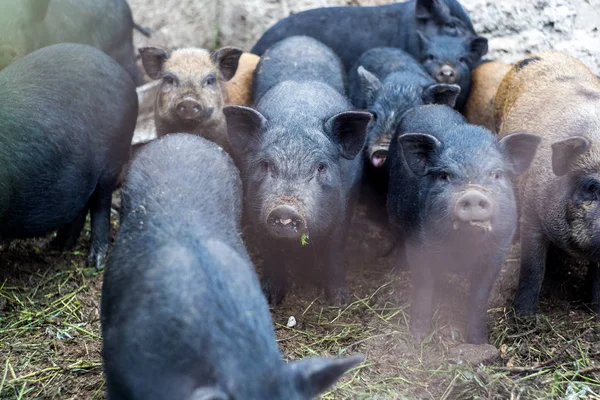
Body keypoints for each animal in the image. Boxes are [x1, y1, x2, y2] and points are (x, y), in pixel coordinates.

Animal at [386, 104, 540, 342]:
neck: (462, 248)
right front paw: (418, 336)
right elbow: (424, 285)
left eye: (497, 174)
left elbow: (479, 296)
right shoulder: (418, 244)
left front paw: (479, 342)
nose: (473, 195)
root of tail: (428, 106)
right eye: (444, 175)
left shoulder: (498, 251)